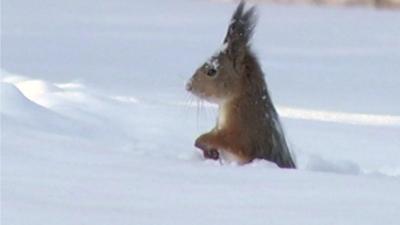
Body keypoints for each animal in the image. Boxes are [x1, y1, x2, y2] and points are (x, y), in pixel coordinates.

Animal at [186, 0, 296, 169]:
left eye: (212, 71)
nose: (188, 86)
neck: (238, 99)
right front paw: (210, 153)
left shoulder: (245, 131)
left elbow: (234, 143)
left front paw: (203, 142)